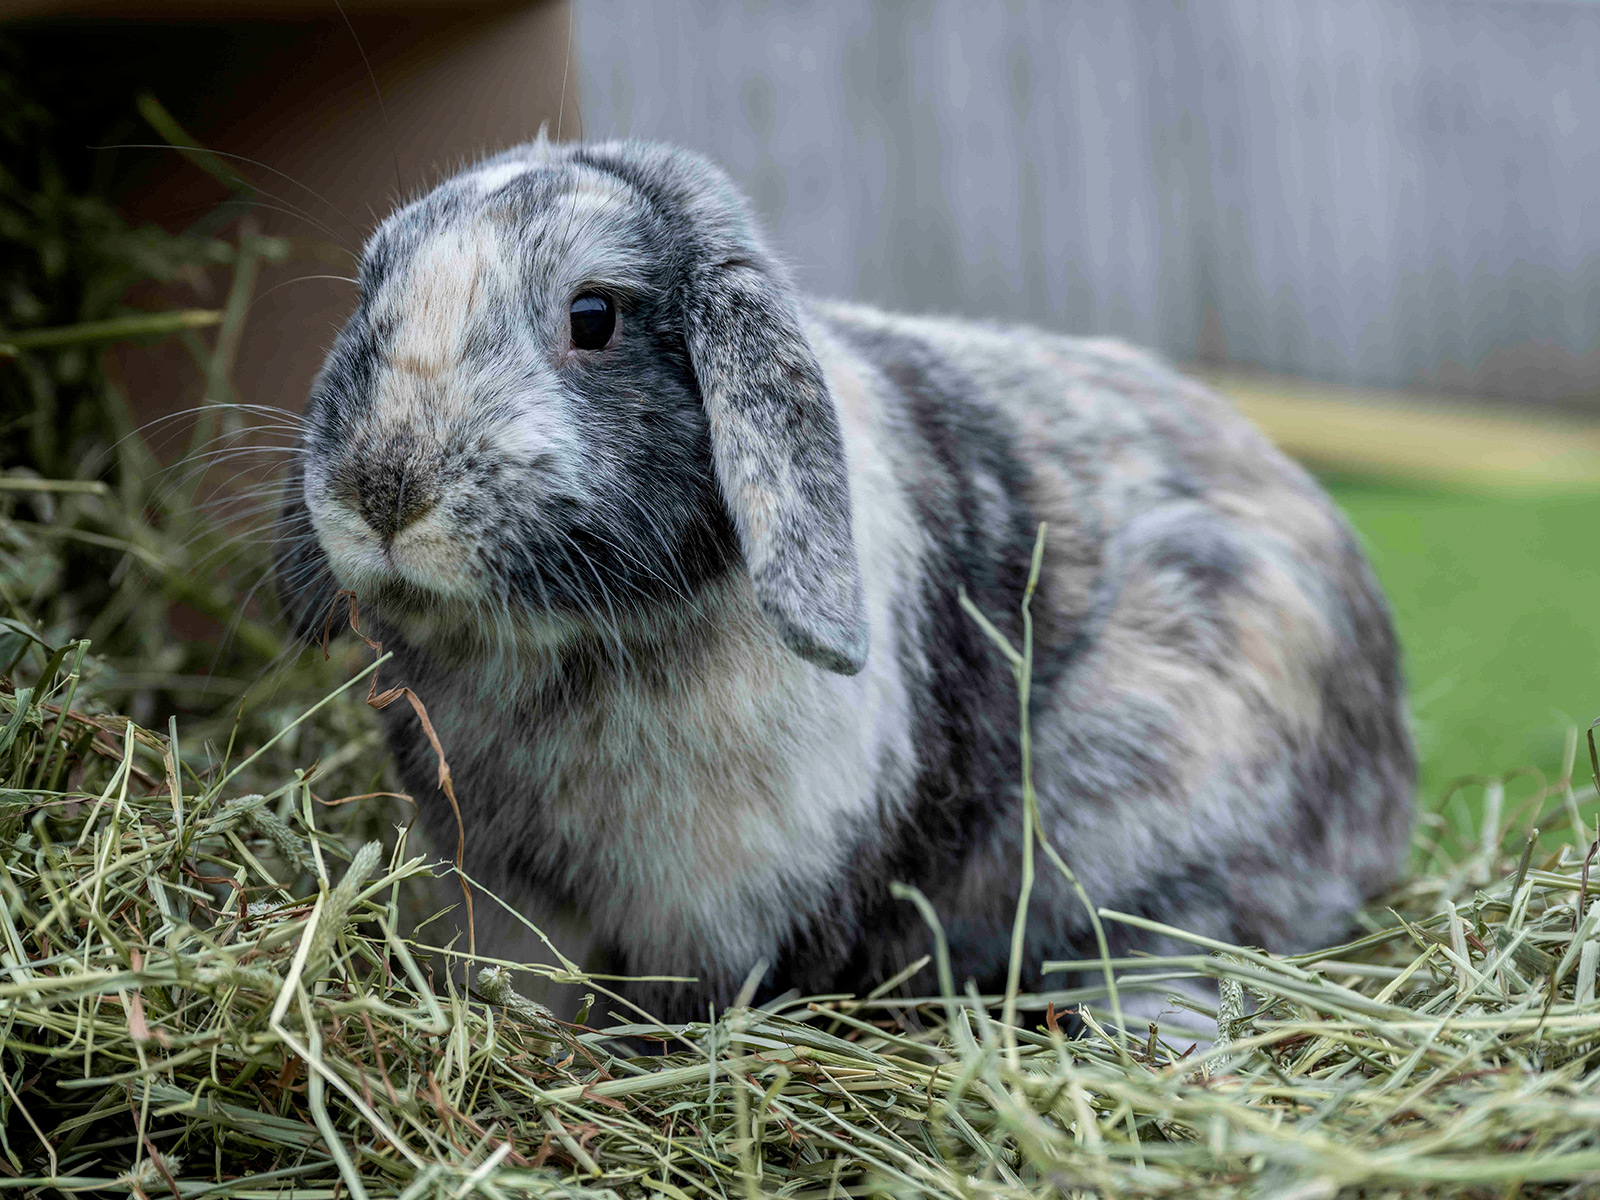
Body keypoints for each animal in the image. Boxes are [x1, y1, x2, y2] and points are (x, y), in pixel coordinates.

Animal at [275, 137, 1414, 1027]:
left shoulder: (725, 914)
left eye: (593, 316)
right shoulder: (502, 897)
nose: (384, 486)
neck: (566, 659)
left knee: (1182, 936)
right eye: (371, 296)